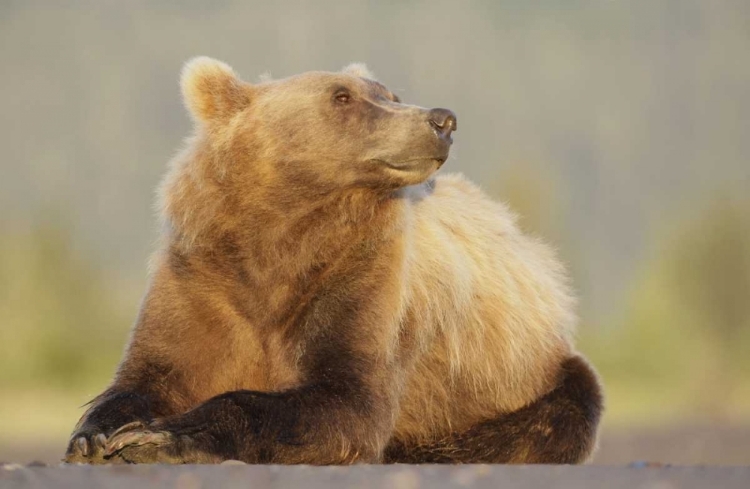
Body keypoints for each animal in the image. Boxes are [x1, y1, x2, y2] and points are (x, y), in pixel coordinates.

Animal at [66, 55, 604, 464]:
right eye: (342, 96)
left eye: (389, 93)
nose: (441, 119)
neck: (279, 238)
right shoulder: (201, 278)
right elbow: (148, 373)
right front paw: (97, 435)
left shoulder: (357, 276)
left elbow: (343, 399)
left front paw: (156, 438)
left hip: (523, 372)